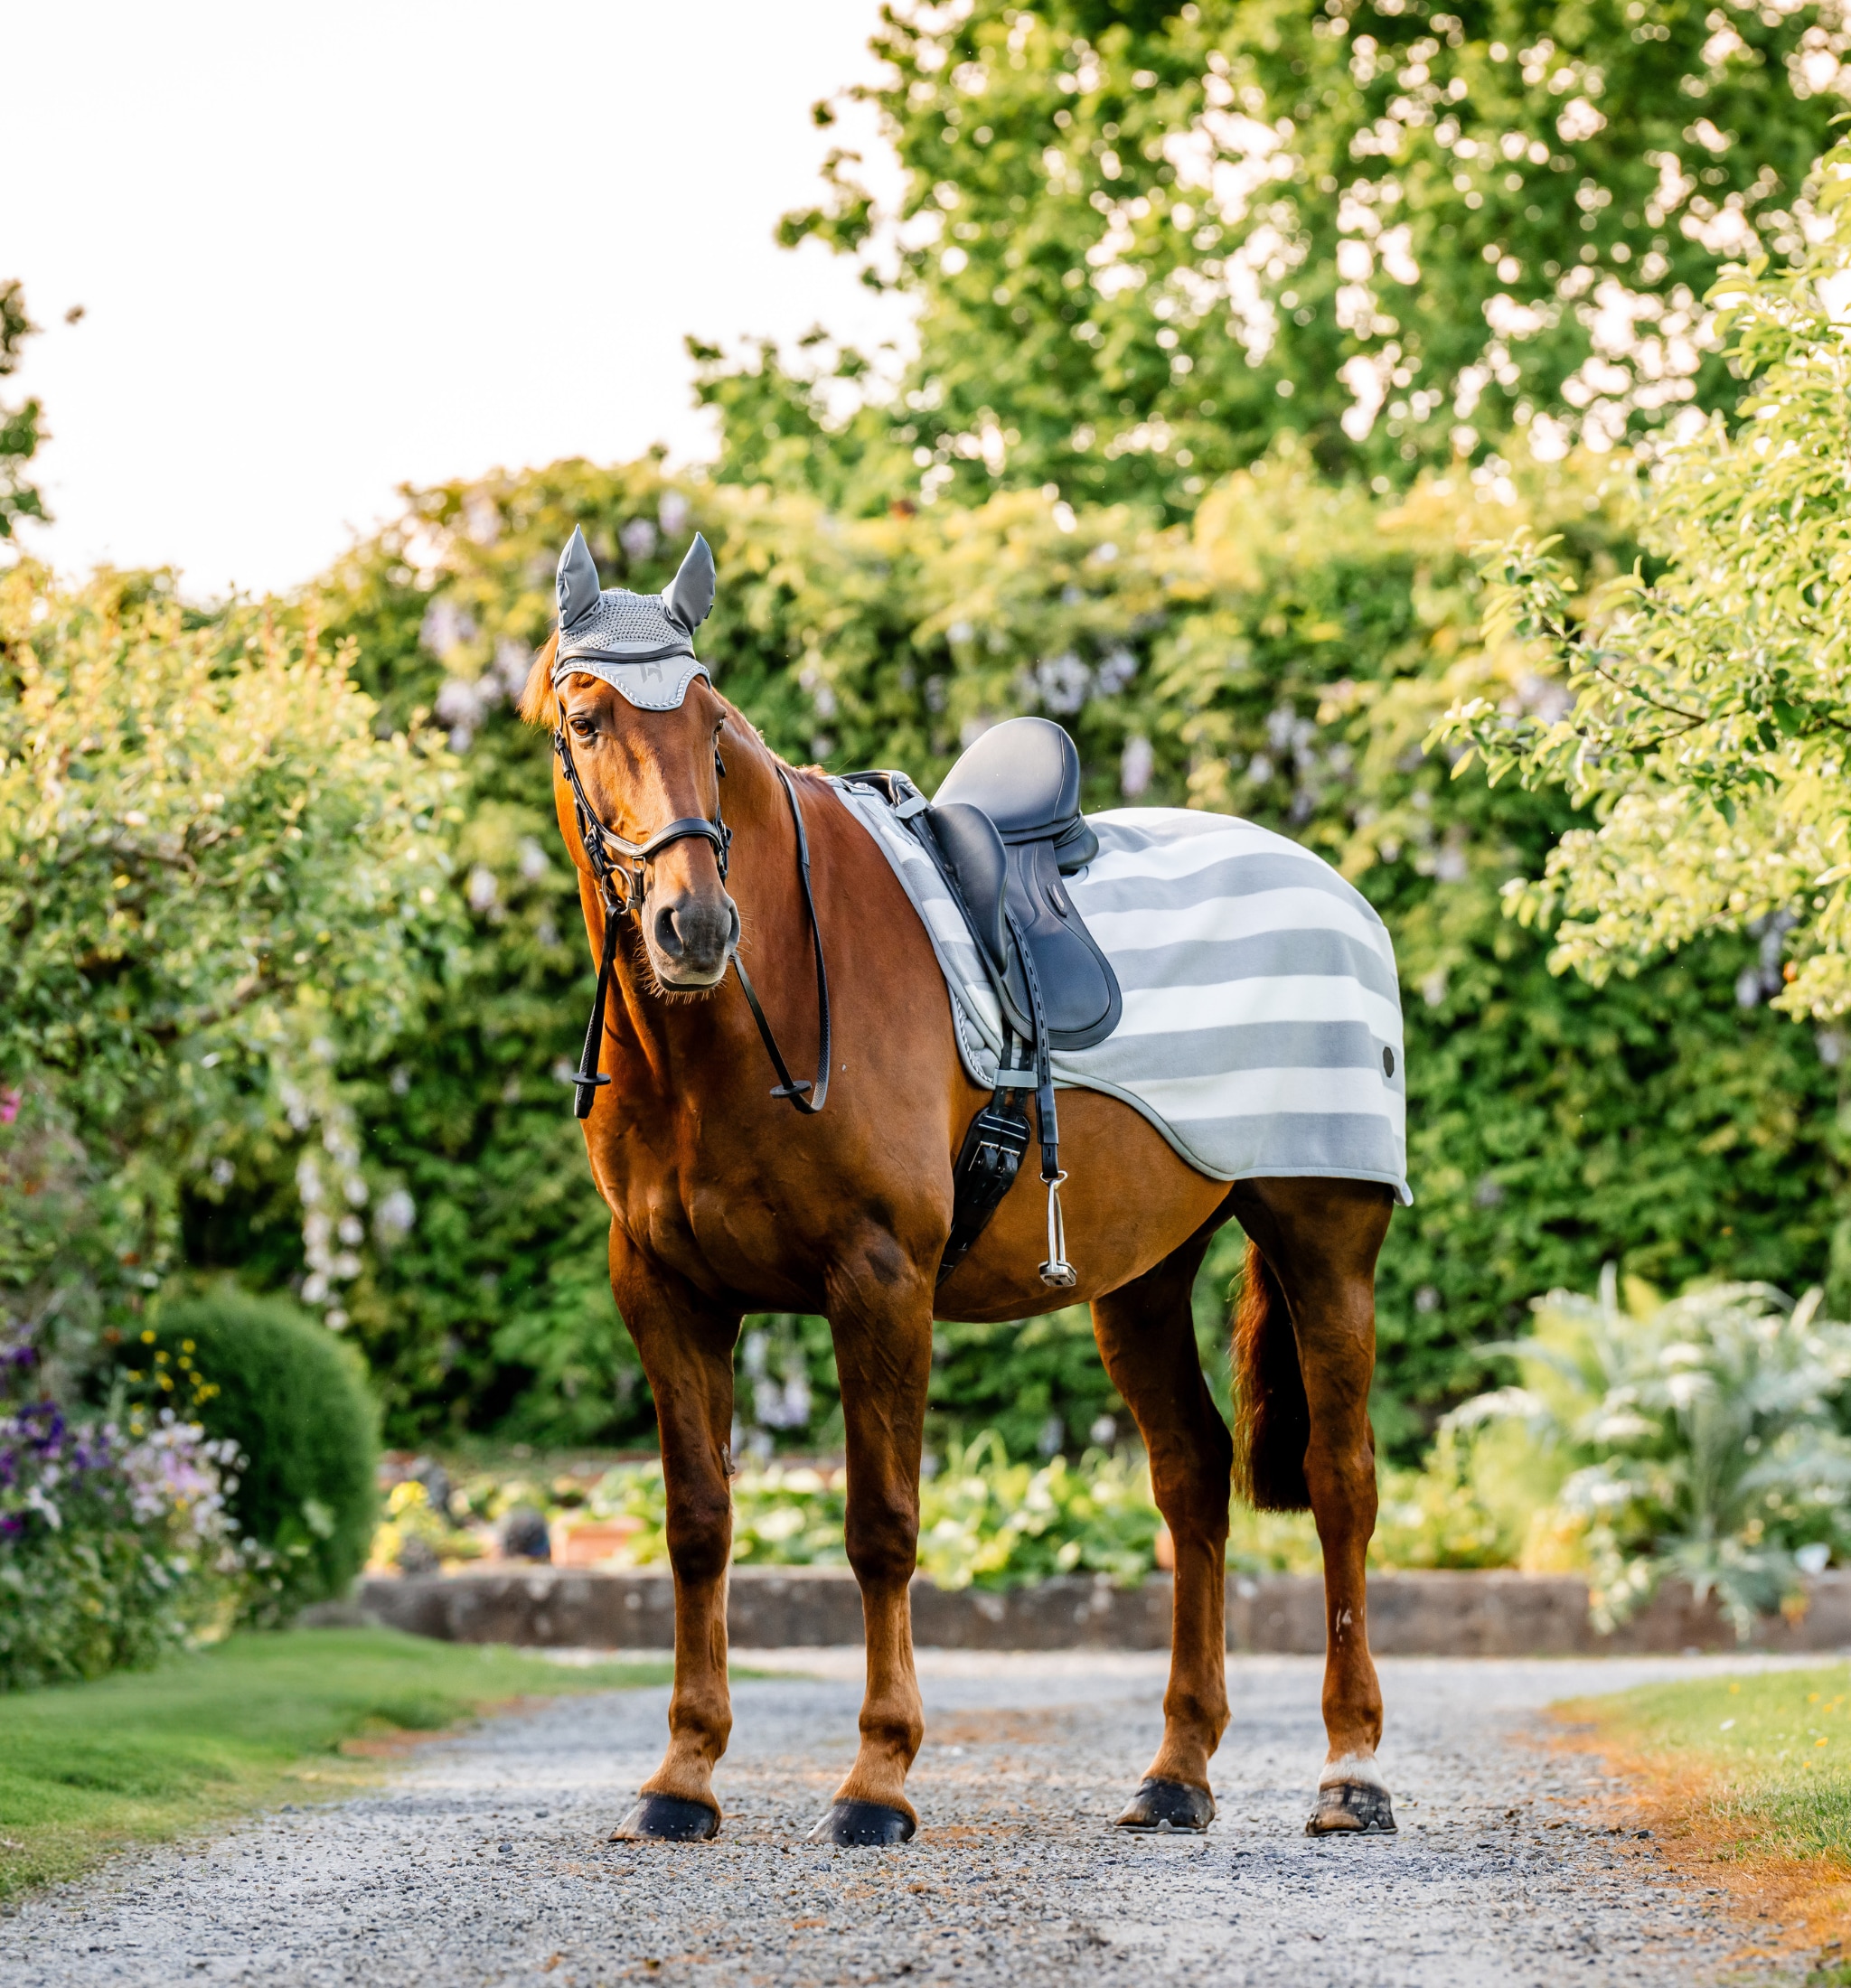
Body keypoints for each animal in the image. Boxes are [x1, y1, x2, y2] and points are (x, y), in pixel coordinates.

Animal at [516, 643, 1391, 1836]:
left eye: (711, 729)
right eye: (587, 720)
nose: (693, 926)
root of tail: (1333, 889)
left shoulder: (880, 1281)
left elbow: (881, 1526)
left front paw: (876, 1781)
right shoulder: (665, 1294)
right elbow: (698, 1524)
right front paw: (681, 1779)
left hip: (1321, 1235)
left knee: (1339, 1480)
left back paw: (1350, 1772)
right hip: (1140, 1279)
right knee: (1191, 1478)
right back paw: (1175, 1774)